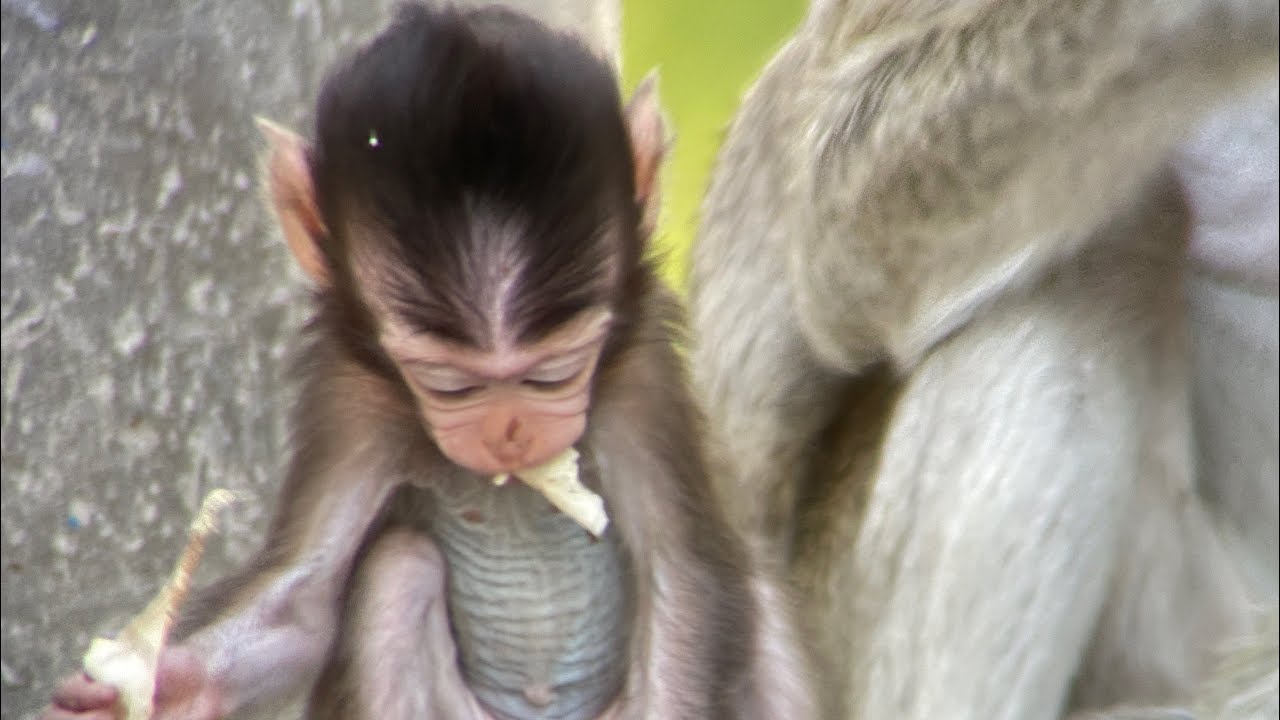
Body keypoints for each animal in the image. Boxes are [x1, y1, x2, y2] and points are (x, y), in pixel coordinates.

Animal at [45, 5, 812, 720]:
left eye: (555, 373)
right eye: (450, 386)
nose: (512, 434)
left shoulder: (641, 376)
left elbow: (683, 582)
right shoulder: (350, 393)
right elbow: (303, 604)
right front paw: (161, 683)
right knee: (397, 570)